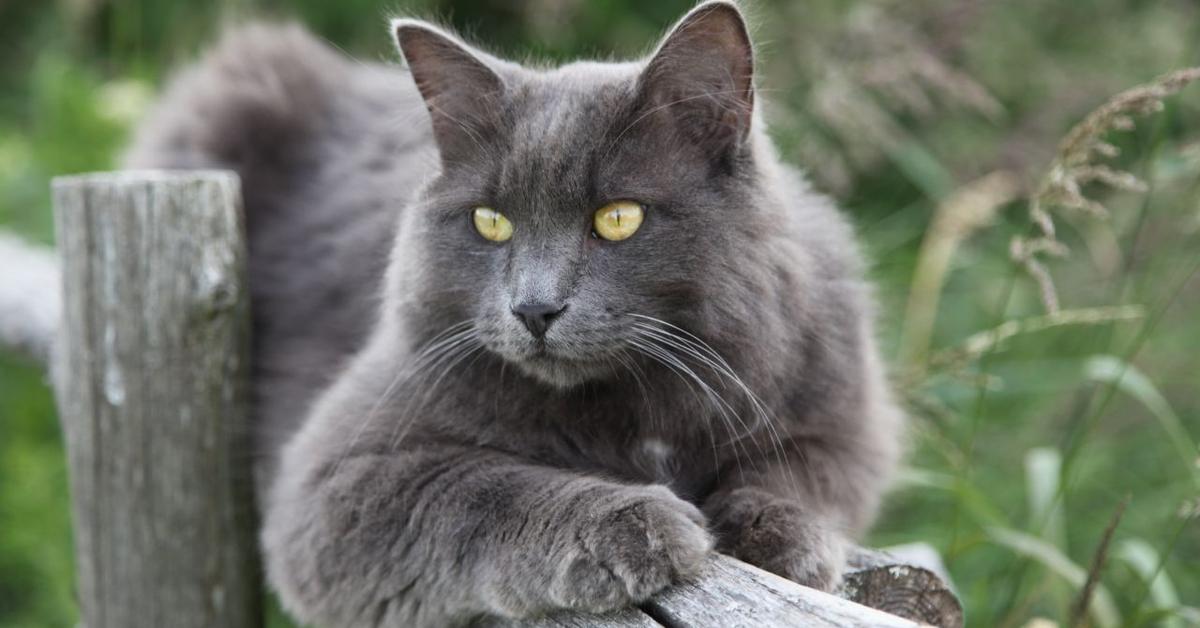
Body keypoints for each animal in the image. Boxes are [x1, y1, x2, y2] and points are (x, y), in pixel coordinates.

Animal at [129, 2, 902, 624]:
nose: (534, 306)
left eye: (618, 218)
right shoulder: (334, 483)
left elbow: (804, 473)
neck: (638, 405)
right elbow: (482, 489)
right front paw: (633, 524)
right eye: (491, 222)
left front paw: (777, 536)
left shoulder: (841, 411)